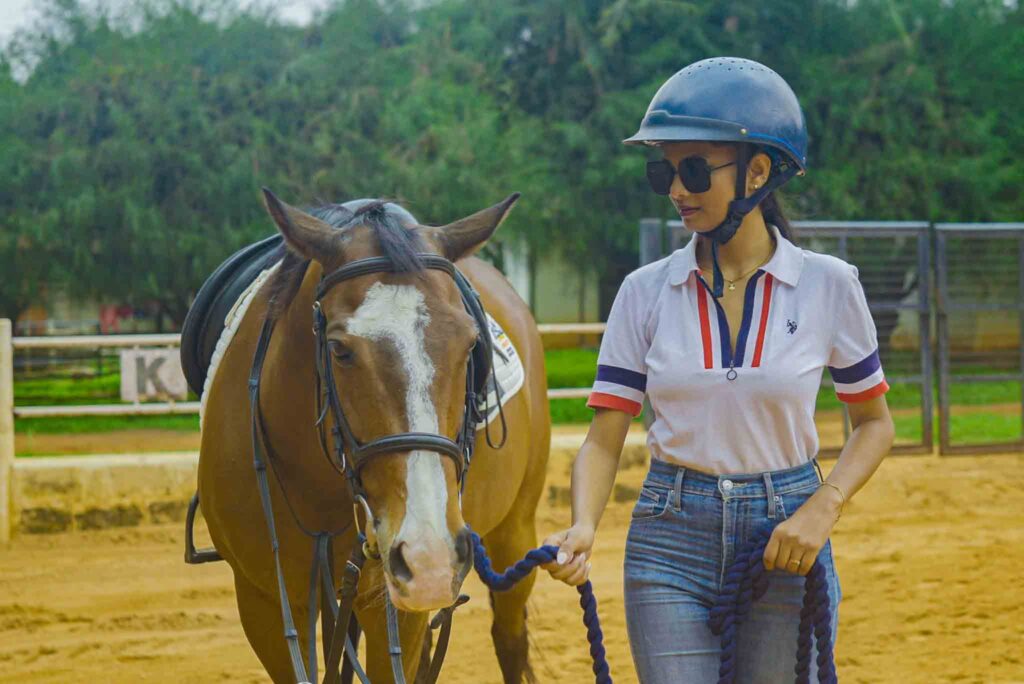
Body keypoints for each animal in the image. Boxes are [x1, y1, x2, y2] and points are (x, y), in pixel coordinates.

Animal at [195, 190, 551, 683]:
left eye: (470, 345)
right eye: (340, 350)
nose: (428, 553)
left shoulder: (396, 604)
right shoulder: (263, 603)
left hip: (513, 532)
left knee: (510, 640)